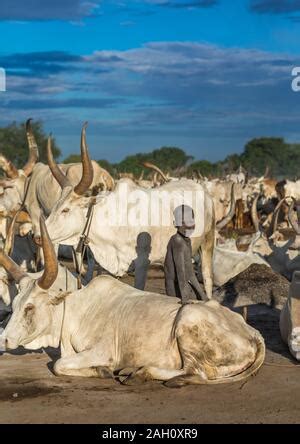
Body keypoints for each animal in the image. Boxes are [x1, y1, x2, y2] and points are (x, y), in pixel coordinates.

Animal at [1, 215, 264, 386]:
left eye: (30, 307)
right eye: (14, 306)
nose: (4, 339)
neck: (74, 309)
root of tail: (253, 333)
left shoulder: (103, 351)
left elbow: (58, 365)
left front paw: (104, 371)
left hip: (188, 319)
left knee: (194, 373)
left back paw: (140, 372)